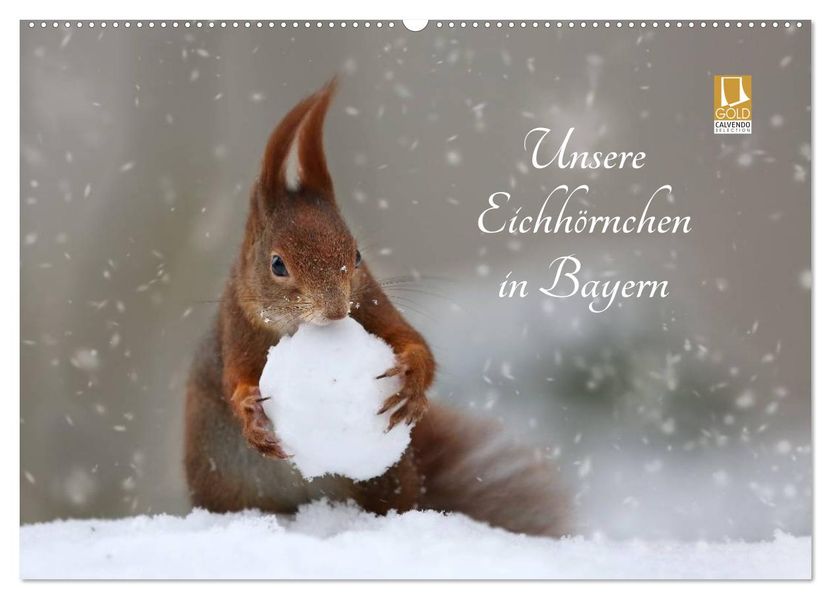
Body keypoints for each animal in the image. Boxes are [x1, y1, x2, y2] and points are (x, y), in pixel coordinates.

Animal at [184, 79, 568, 537]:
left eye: (357, 254)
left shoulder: (371, 303)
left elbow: (414, 342)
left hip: (385, 478)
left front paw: (412, 383)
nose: (335, 311)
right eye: (277, 264)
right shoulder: (236, 327)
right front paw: (250, 414)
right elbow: (235, 379)